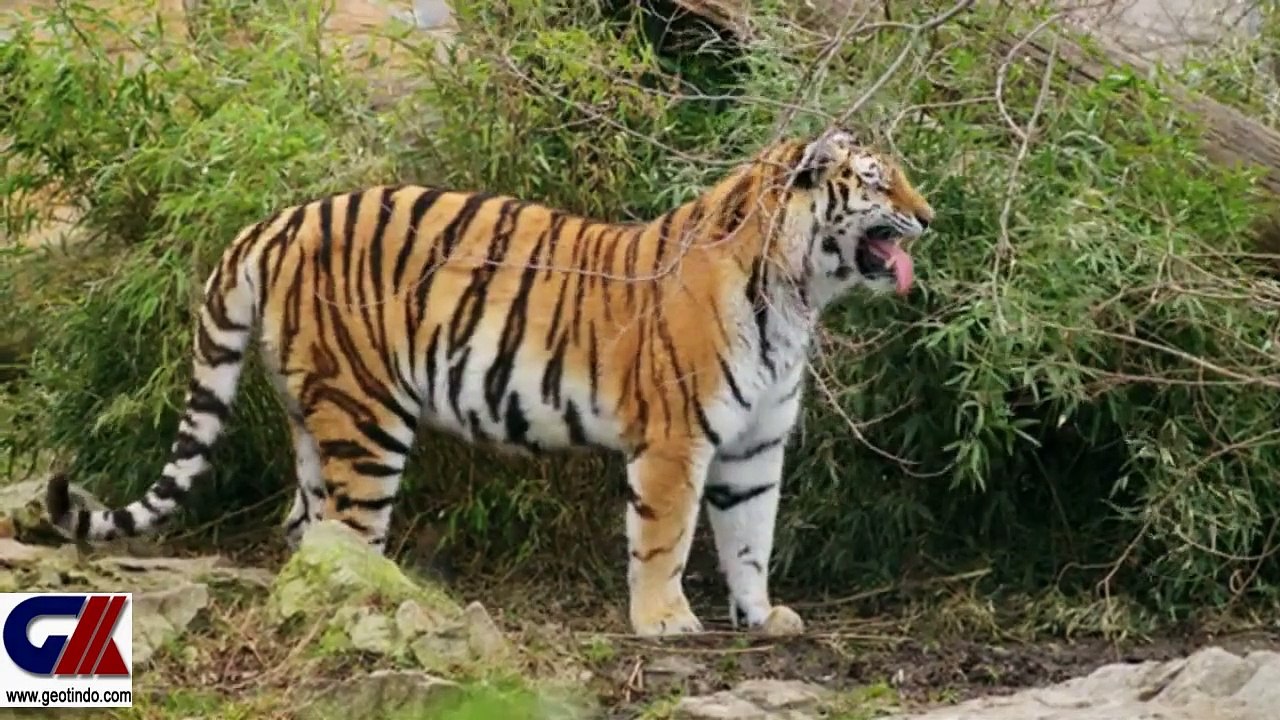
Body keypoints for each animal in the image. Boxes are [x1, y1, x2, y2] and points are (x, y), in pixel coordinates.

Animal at [45, 127, 933, 637]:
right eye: (877, 181)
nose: (931, 216)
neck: (796, 294)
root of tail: (277, 220)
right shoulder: (675, 444)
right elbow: (665, 540)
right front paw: (664, 622)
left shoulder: (754, 447)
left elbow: (751, 538)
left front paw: (761, 617)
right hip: (366, 417)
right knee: (351, 529)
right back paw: (380, 603)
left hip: (313, 413)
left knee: (306, 525)